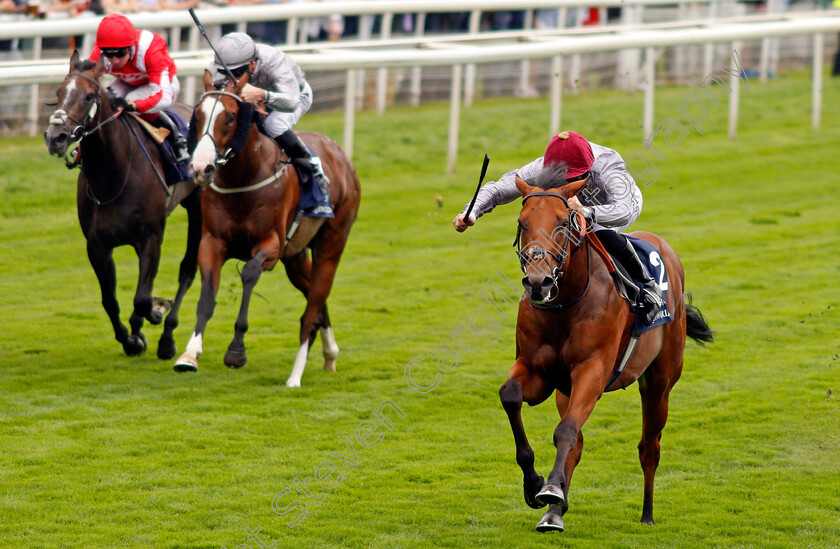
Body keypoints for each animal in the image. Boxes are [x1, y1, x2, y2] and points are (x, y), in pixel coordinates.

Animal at [44, 52, 203, 360]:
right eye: (58, 93)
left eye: (89, 96)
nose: (55, 137)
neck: (113, 176)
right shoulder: (97, 246)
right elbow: (110, 299)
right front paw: (131, 339)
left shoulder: (151, 238)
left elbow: (142, 298)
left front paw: (155, 310)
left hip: (198, 205)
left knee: (188, 269)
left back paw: (167, 339)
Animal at [174, 69, 360, 386]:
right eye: (197, 115)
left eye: (231, 116)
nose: (201, 168)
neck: (242, 178)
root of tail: (341, 156)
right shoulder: (212, 243)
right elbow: (206, 297)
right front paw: (189, 354)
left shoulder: (270, 245)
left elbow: (249, 273)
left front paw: (236, 352)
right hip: (295, 256)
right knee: (315, 300)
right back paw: (330, 353)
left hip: (332, 244)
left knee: (311, 309)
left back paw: (295, 377)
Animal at [502, 166, 712, 532]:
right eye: (522, 222)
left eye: (564, 221)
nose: (539, 282)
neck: (565, 303)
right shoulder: (537, 371)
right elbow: (511, 396)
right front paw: (535, 486)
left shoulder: (594, 370)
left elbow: (566, 431)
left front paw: (551, 489)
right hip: (565, 390)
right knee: (578, 442)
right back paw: (554, 512)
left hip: (660, 382)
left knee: (649, 447)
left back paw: (646, 514)